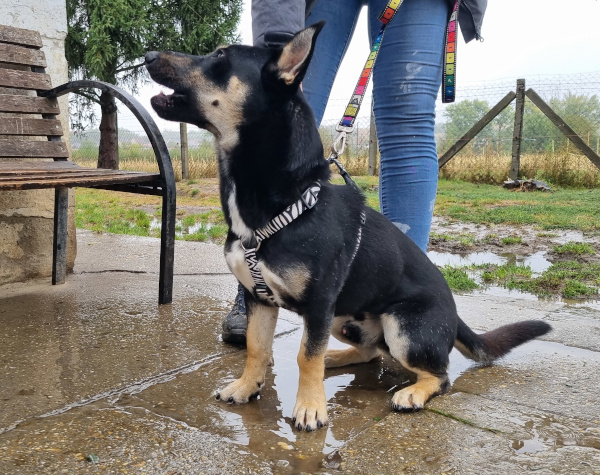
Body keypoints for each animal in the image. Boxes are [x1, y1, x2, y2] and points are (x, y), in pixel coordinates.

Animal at [145, 22, 551, 432]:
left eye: (219, 56)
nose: (148, 55)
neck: (287, 201)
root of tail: (455, 316)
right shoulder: (260, 298)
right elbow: (257, 348)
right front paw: (247, 386)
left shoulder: (319, 304)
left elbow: (305, 356)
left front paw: (310, 408)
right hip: (345, 319)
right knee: (371, 353)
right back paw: (336, 358)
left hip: (400, 327)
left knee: (439, 375)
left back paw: (411, 393)